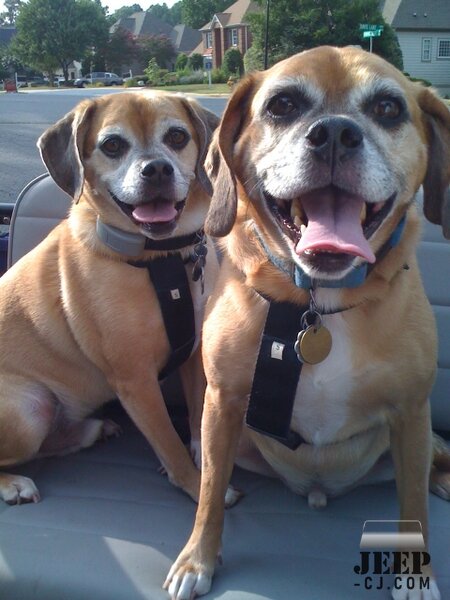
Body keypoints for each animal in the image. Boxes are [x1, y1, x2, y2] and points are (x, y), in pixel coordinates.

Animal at [0, 91, 220, 506]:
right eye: (112, 145)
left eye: (178, 137)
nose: (157, 169)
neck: (160, 258)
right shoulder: (136, 381)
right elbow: (169, 442)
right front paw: (197, 485)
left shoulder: (192, 352)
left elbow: (198, 415)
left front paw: (204, 457)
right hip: (28, 410)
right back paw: (14, 483)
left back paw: (91, 431)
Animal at [165, 48, 450, 600]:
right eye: (282, 104)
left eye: (387, 108)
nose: (335, 133)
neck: (318, 302)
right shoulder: (223, 404)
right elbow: (209, 493)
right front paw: (198, 558)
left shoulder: (411, 413)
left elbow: (414, 509)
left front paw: (415, 575)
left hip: (422, 437)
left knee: (431, 465)